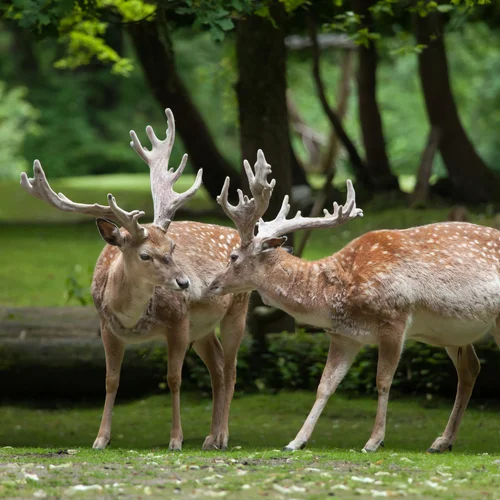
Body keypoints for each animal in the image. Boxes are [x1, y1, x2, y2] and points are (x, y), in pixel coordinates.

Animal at [21, 110, 248, 454]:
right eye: (145, 255)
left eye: (172, 247)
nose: (186, 284)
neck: (132, 319)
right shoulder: (106, 327)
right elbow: (110, 380)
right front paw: (100, 439)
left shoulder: (178, 322)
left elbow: (173, 378)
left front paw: (176, 439)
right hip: (203, 328)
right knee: (218, 366)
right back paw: (209, 438)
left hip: (238, 307)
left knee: (232, 368)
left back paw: (221, 436)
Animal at [209, 149, 500, 454]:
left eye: (232, 257)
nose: (212, 284)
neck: (339, 296)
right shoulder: (344, 336)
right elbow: (325, 385)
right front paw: (296, 441)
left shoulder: (395, 319)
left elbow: (383, 381)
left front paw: (374, 441)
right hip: (452, 333)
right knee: (470, 369)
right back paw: (442, 442)